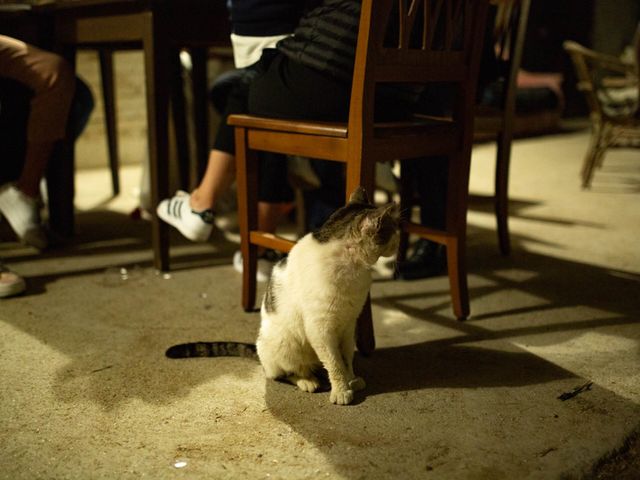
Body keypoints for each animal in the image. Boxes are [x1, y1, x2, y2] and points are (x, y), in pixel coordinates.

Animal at [169, 188, 400, 404]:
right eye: (391, 231)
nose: (398, 243)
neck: (354, 269)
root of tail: (259, 349)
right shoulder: (321, 330)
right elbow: (334, 363)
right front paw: (341, 391)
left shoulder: (349, 323)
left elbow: (346, 357)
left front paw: (351, 380)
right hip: (286, 345)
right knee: (283, 374)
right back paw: (308, 381)